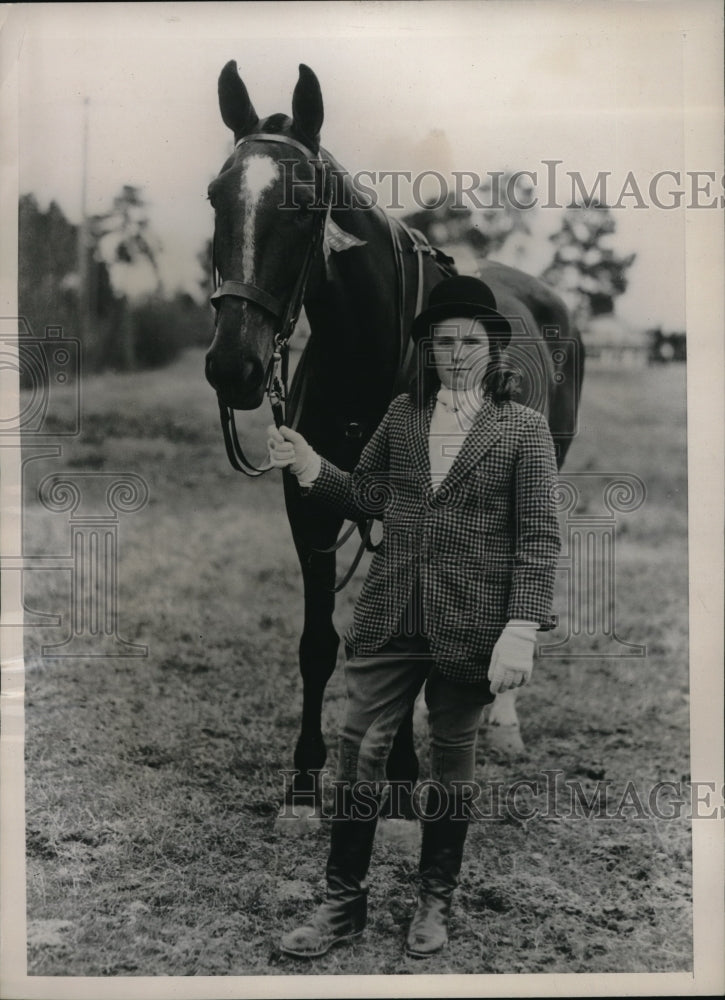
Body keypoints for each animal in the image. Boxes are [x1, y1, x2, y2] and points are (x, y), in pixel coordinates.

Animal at [202, 60, 584, 820]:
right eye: (215, 198)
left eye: (301, 204)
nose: (233, 365)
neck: (369, 348)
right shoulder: (312, 509)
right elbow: (319, 642)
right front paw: (303, 782)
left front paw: (405, 781)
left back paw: (502, 723)